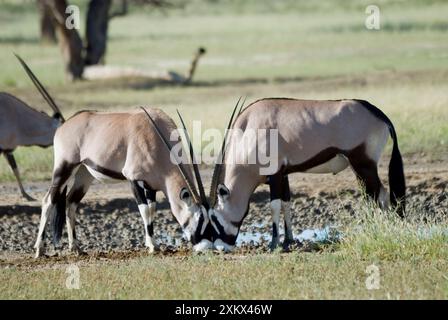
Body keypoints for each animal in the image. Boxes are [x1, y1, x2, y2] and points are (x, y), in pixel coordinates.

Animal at [208, 97, 408, 252]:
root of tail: (379, 114)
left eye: (213, 218)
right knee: (372, 196)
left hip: (364, 165)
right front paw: (288, 241)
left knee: (380, 195)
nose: (219, 248)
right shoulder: (284, 174)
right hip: (359, 169)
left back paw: (384, 230)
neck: (248, 131)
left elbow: (274, 205)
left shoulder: (275, 174)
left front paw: (274, 244)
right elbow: (286, 203)